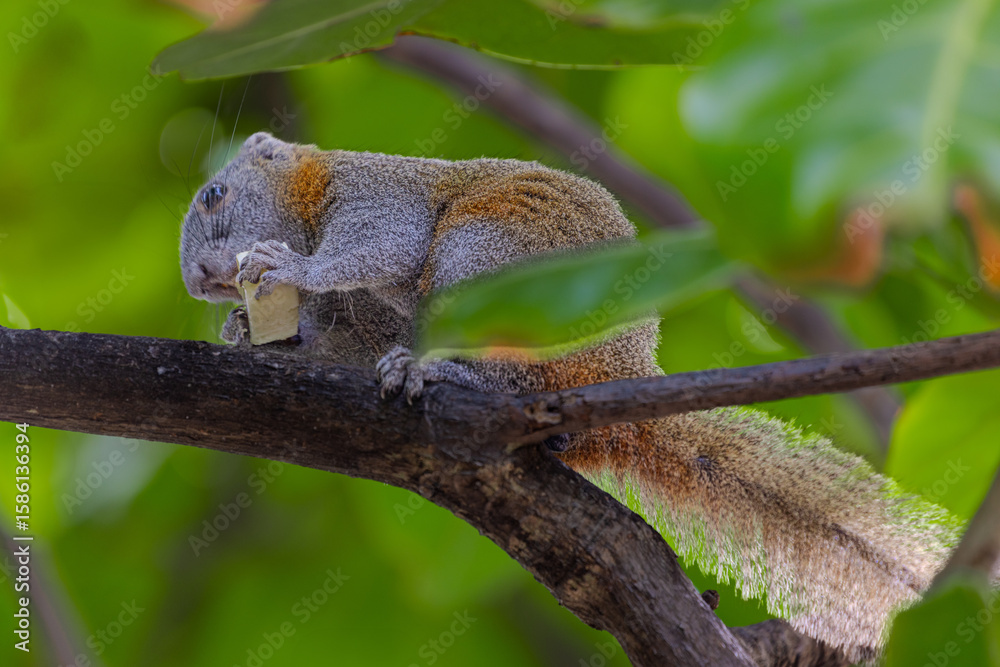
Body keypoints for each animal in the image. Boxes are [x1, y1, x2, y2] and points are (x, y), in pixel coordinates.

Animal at [180, 131, 962, 658]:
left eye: (215, 194)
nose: (199, 282)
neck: (313, 188)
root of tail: (612, 378)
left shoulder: (375, 198)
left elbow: (378, 248)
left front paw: (290, 268)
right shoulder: (366, 316)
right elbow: (344, 338)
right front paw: (247, 329)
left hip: (491, 261)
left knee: (508, 369)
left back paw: (446, 374)